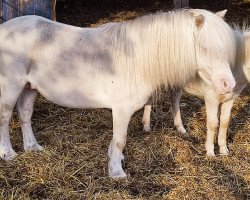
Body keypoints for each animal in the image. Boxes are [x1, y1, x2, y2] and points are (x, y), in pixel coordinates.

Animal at [143, 24, 250, 156]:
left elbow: (225, 122)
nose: (228, 85)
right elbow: (213, 123)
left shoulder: (231, 98)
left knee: (174, 99)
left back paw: (181, 129)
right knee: (150, 98)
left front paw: (224, 150)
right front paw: (210, 152)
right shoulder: (211, 98)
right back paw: (146, 127)